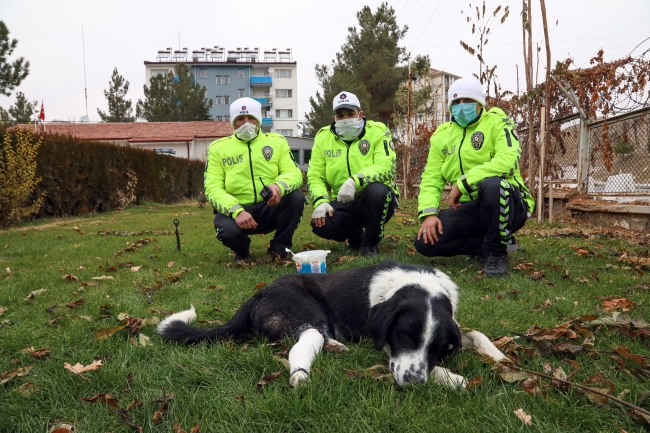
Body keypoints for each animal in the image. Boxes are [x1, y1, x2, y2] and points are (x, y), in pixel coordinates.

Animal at [157, 258, 506, 386]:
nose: (413, 383)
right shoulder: (382, 342)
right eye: (404, 335)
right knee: (307, 341)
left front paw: (500, 357)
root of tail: (256, 295)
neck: (417, 286)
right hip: (307, 313)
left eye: (437, 346)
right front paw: (452, 378)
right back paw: (304, 371)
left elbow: (476, 332)